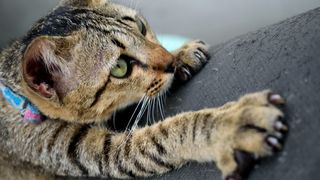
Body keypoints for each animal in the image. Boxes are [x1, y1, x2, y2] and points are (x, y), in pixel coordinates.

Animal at [0, 0, 288, 179]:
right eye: (120, 68)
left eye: (140, 27)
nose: (170, 63)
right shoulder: (90, 152)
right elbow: (163, 136)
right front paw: (229, 125)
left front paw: (181, 53)